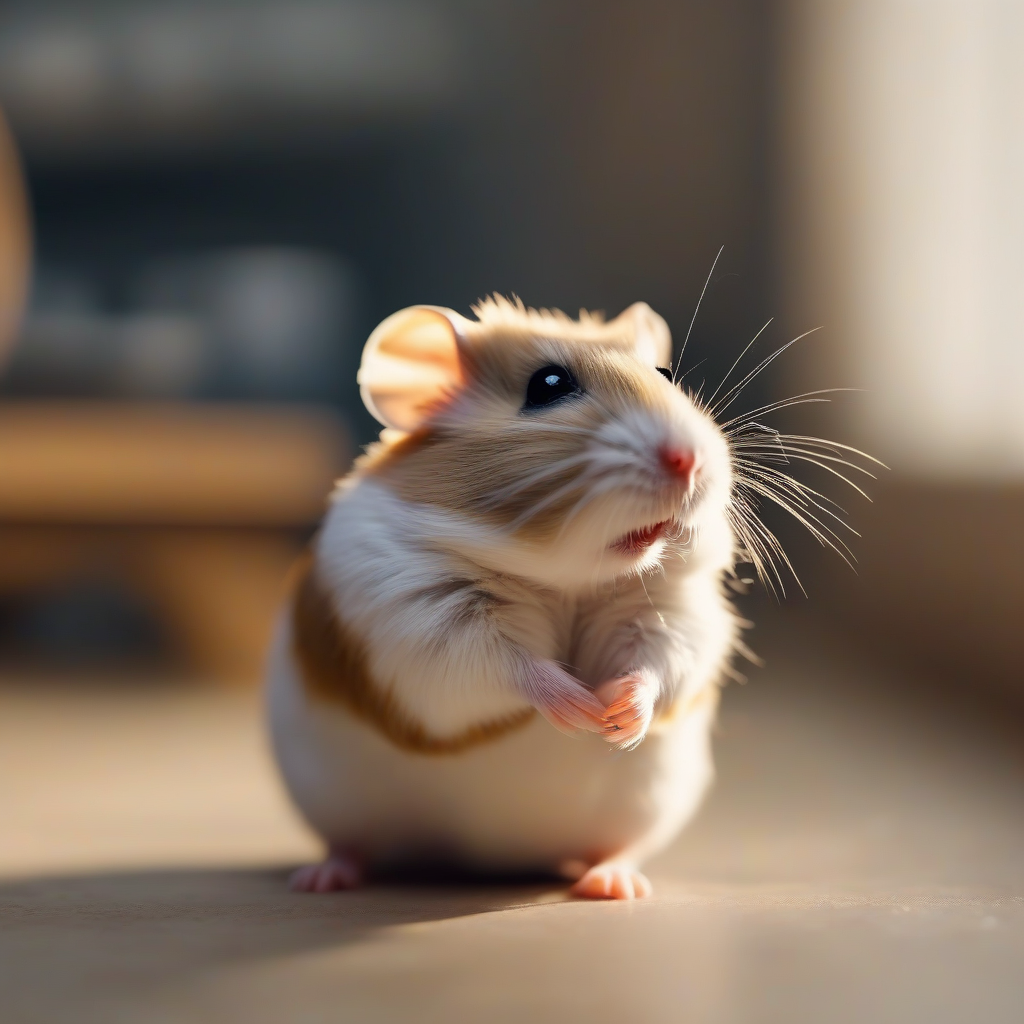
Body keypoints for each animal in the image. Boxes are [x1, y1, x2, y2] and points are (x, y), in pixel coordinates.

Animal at [267, 296, 741, 900]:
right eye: (548, 385)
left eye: (666, 375)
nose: (689, 460)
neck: (568, 579)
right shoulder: (416, 616)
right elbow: (509, 666)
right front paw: (583, 709)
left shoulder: (677, 613)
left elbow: (657, 665)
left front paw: (617, 718)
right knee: (350, 845)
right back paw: (322, 879)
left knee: (615, 848)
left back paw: (615, 885)